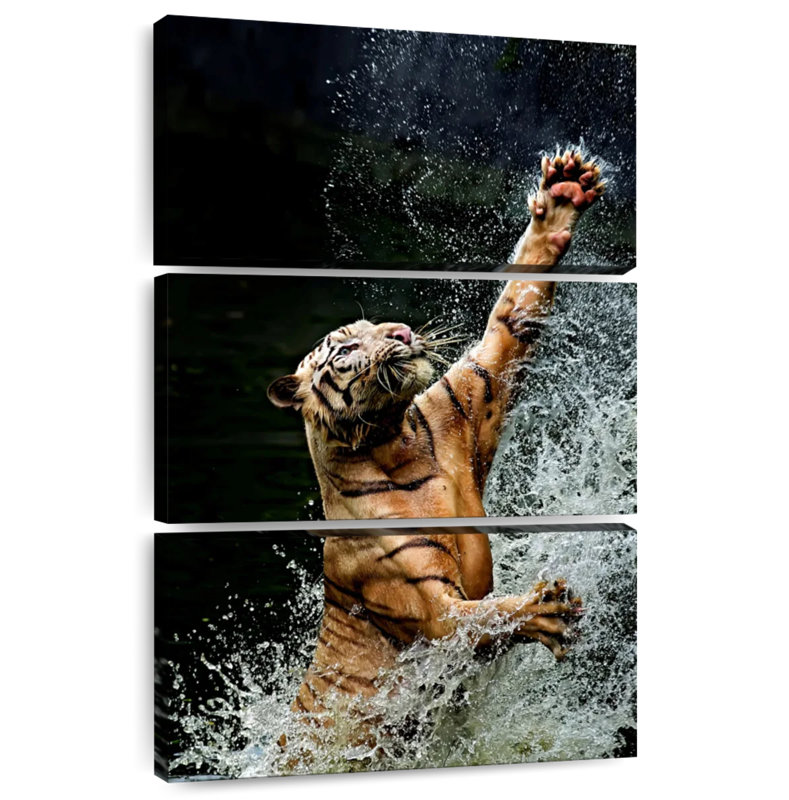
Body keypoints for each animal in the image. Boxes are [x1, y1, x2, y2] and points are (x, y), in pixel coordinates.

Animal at [267, 148, 605, 521]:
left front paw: (563, 193)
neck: (393, 441)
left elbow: (513, 314)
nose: (402, 333)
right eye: (346, 349)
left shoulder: (466, 394)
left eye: (373, 327)